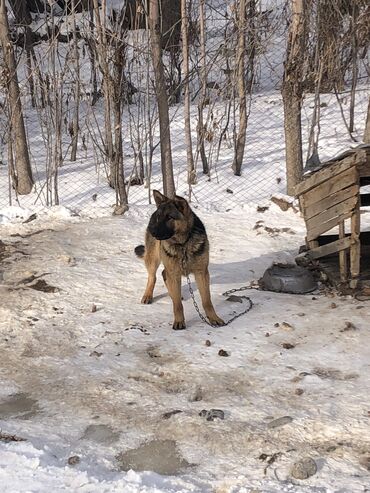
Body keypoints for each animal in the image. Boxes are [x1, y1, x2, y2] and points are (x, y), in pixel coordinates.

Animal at [135, 190, 224, 328]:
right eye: (159, 217)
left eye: (169, 217)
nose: (152, 231)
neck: (183, 244)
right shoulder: (174, 272)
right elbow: (177, 305)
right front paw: (179, 321)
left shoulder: (202, 273)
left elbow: (207, 301)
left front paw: (214, 318)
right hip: (154, 259)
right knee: (153, 277)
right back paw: (148, 295)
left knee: (164, 274)